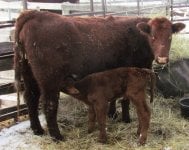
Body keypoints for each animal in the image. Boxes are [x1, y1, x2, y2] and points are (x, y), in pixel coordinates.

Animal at [14, 10, 185, 141]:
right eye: (153, 37)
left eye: (170, 37)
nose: (162, 59)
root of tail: (35, 13)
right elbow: (125, 100)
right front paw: (126, 119)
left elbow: (115, 97)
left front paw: (112, 114)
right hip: (49, 79)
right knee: (49, 104)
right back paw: (57, 136)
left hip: (29, 74)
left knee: (31, 98)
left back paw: (37, 130)